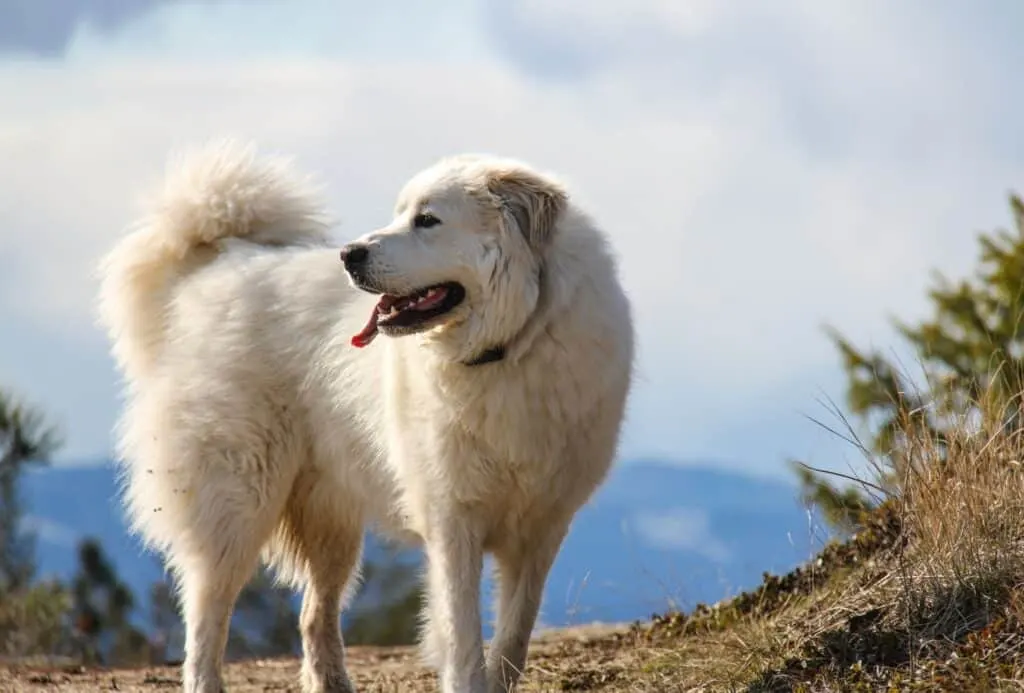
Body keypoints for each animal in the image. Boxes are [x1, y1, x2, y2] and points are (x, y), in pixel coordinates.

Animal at [99, 142, 634, 691]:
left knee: (313, 614)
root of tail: (219, 266)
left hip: (331, 523)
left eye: (427, 220)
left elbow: (513, 636)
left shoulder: (542, 527)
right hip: (238, 501)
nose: (349, 254)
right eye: (401, 214)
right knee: (207, 617)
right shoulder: (452, 519)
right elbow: (462, 633)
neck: (509, 347)